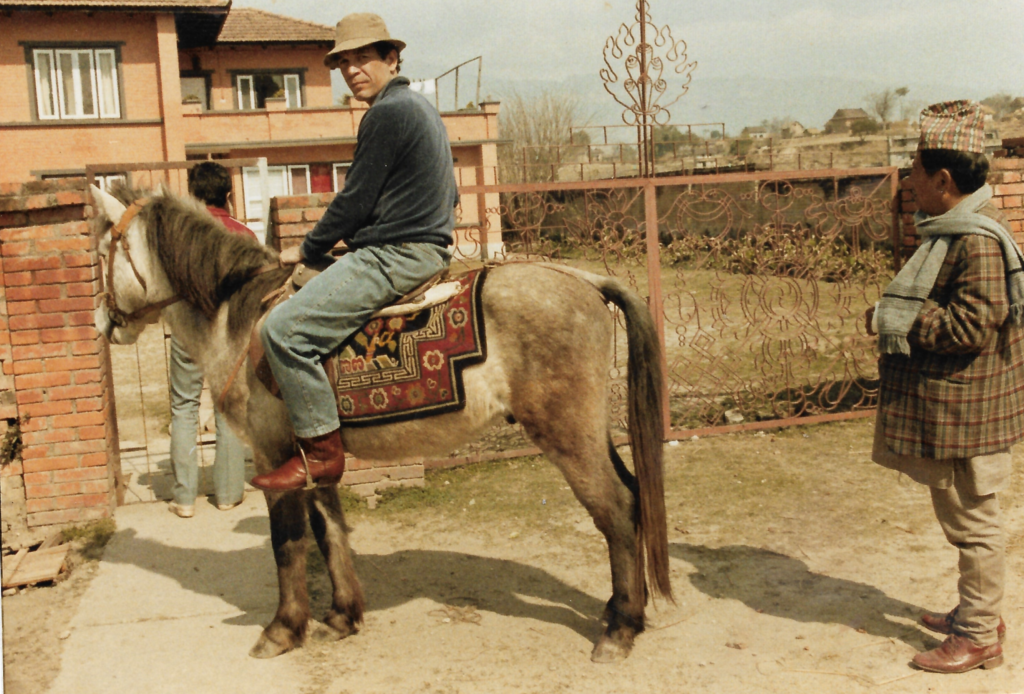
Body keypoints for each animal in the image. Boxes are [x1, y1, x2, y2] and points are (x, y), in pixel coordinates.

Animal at [88, 185, 671, 663]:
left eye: (101, 253)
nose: (101, 323)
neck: (241, 315)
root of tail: (584, 278)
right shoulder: (313, 455)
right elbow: (330, 531)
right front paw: (342, 616)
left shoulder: (274, 456)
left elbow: (288, 543)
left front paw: (282, 630)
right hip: (590, 430)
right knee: (632, 493)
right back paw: (624, 612)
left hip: (566, 434)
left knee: (617, 508)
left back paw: (619, 629)